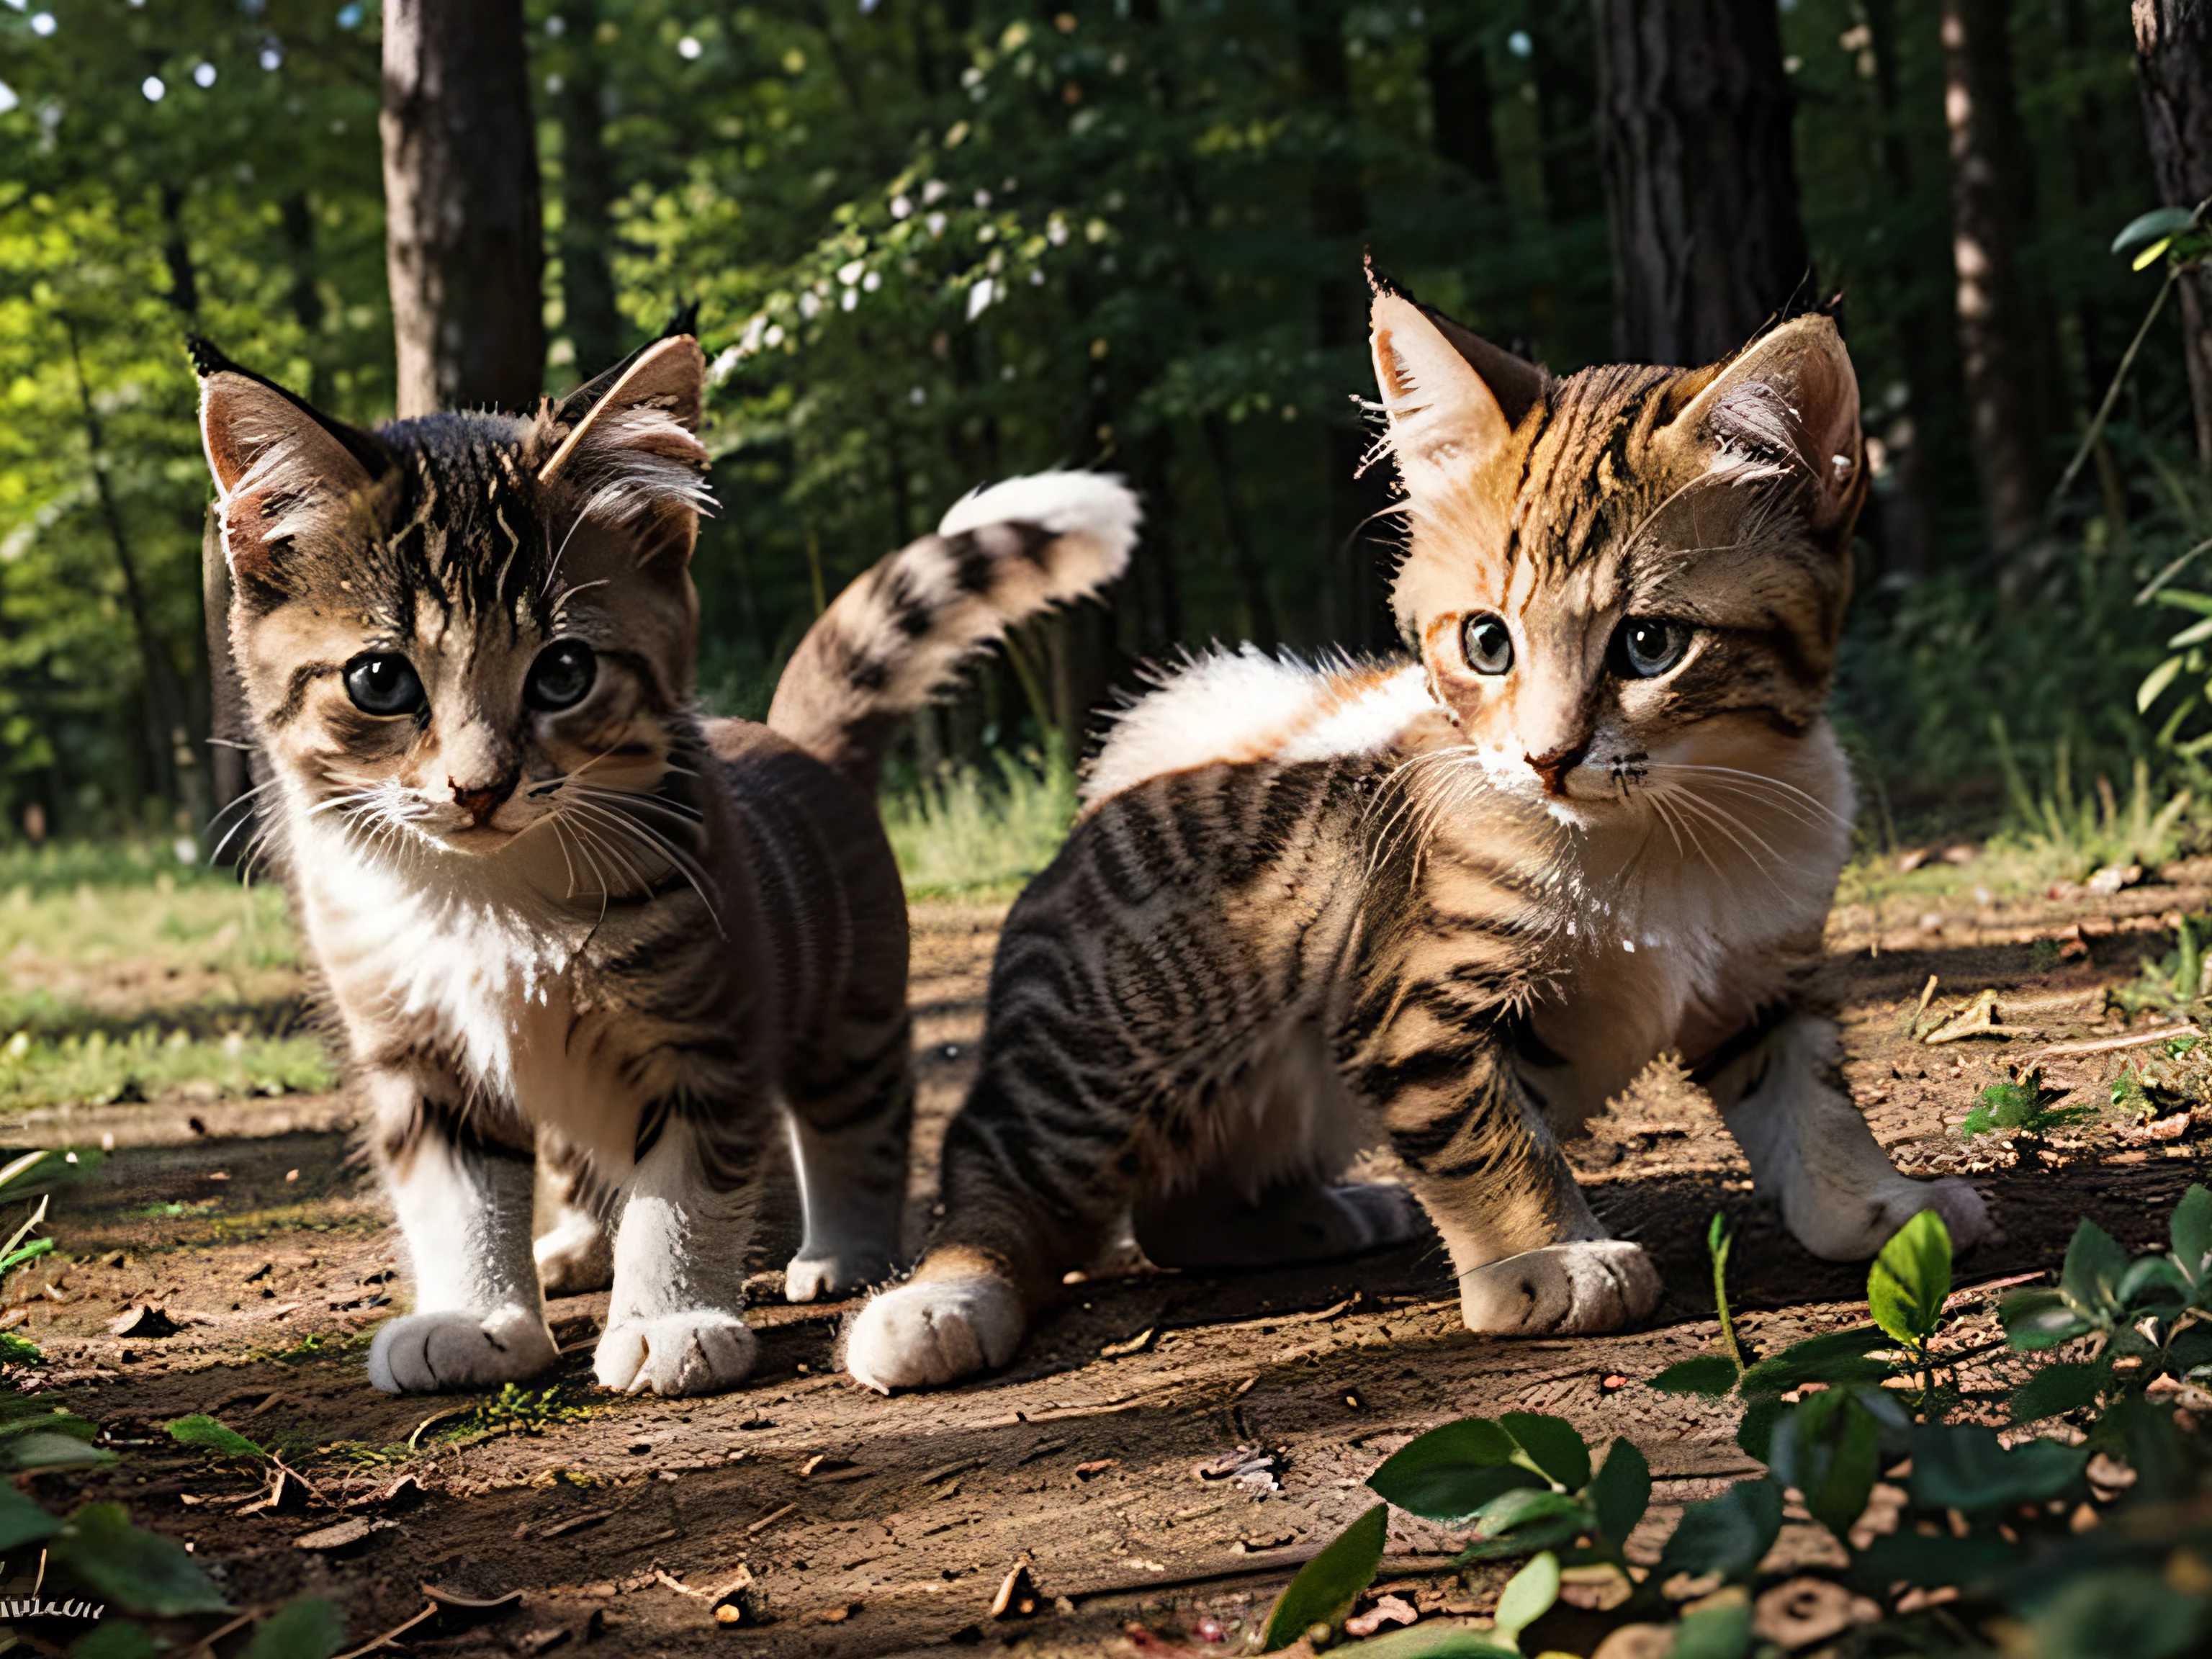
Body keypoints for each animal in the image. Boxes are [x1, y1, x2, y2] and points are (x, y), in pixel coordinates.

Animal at [194, 338, 1141, 1406]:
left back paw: (842, 1251)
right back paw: (573, 1246)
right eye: (380, 680)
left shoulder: (707, 1028)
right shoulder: (415, 1050)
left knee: (859, 1114)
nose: (479, 788)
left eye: (564, 673)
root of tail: (793, 738)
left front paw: (669, 1321)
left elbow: (685, 1187)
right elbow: (459, 1192)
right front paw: (478, 1316)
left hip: (848, 1010)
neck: (487, 900)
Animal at [845, 283, 1990, 1389]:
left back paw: (1328, 1216)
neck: (1657, 842)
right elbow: (1487, 1133)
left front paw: (1880, 1207)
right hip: (1102, 1056)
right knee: (1000, 1162)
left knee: (1175, 1215)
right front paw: (1549, 1256)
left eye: (1650, 643)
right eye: (1487, 642)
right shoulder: (1417, 1001)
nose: (1547, 758)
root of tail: (1118, 791)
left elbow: (1814, 1100)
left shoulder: (1766, 978)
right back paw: (937, 1303)